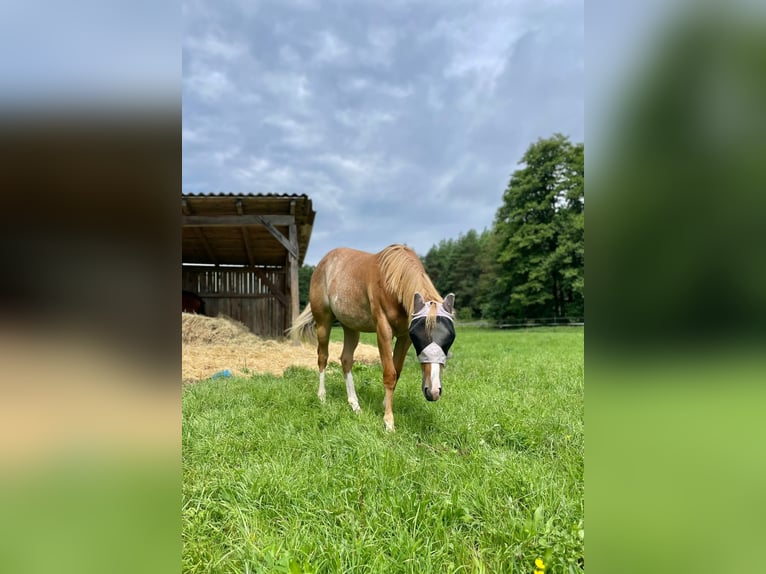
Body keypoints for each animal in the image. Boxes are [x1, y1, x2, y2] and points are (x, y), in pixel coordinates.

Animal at [290, 244, 456, 432]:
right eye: (419, 338)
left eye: (449, 340)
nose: (433, 392)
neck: (392, 281)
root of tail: (322, 263)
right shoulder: (383, 330)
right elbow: (390, 373)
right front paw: (389, 422)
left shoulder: (404, 336)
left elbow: (397, 371)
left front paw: (385, 405)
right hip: (323, 323)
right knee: (322, 357)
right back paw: (322, 397)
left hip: (351, 327)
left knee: (346, 360)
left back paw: (355, 405)